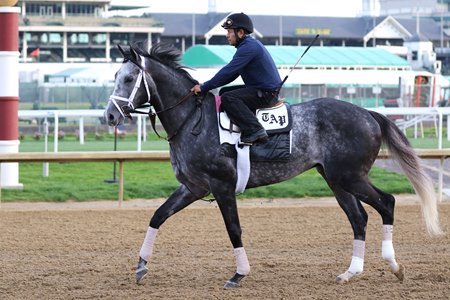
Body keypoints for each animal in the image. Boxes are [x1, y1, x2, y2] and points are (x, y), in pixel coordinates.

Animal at [103, 42, 442, 288]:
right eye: (116, 77)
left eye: (129, 79)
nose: (109, 115)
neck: (192, 120)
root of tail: (368, 113)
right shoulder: (193, 187)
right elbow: (157, 216)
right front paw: (141, 266)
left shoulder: (222, 186)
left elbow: (234, 229)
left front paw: (239, 273)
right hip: (336, 180)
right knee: (359, 218)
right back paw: (351, 272)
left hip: (351, 177)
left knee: (387, 203)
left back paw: (394, 265)